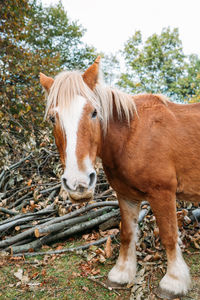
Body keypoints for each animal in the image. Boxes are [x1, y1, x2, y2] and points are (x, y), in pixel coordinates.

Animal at [39, 56, 199, 298]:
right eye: (52, 118)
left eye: (94, 112)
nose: (78, 183)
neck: (131, 135)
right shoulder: (126, 195)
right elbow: (127, 233)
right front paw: (122, 273)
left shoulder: (162, 193)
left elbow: (169, 235)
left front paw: (173, 282)